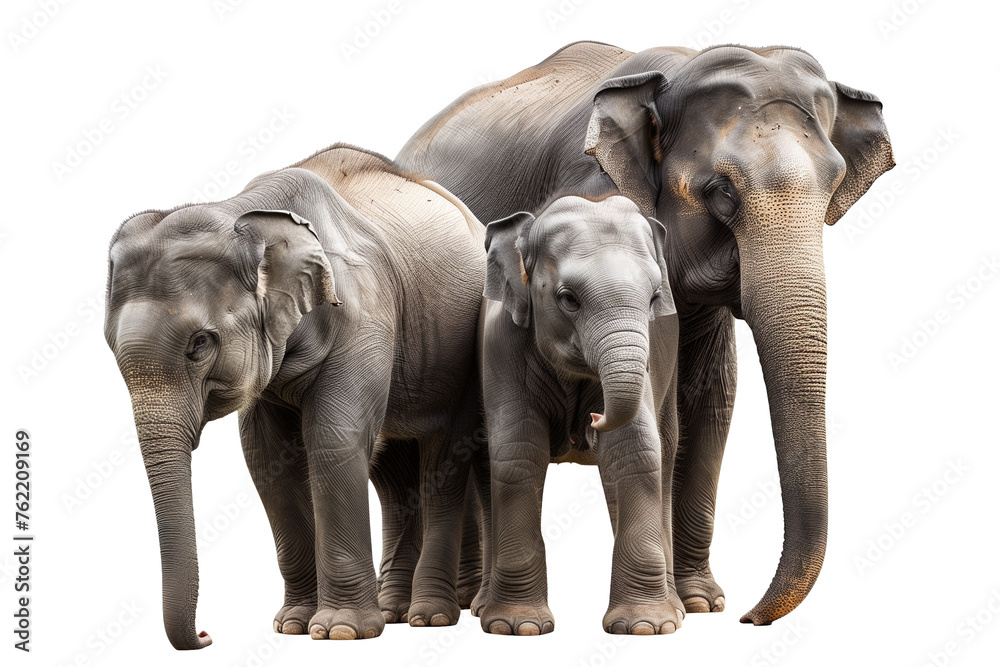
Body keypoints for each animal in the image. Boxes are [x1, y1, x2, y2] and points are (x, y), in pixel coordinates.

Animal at [104, 144, 486, 648]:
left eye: (200, 344)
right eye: (110, 347)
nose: (206, 635)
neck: (243, 213)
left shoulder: (365, 315)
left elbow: (334, 438)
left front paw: (341, 630)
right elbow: (267, 459)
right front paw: (293, 625)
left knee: (443, 462)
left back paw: (432, 616)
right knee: (395, 473)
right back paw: (397, 610)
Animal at [479, 195, 681, 636]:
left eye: (654, 298)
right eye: (568, 298)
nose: (591, 421)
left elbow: (635, 452)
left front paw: (647, 627)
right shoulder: (501, 344)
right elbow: (519, 453)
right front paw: (517, 627)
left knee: (666, 452)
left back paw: (676, 608)